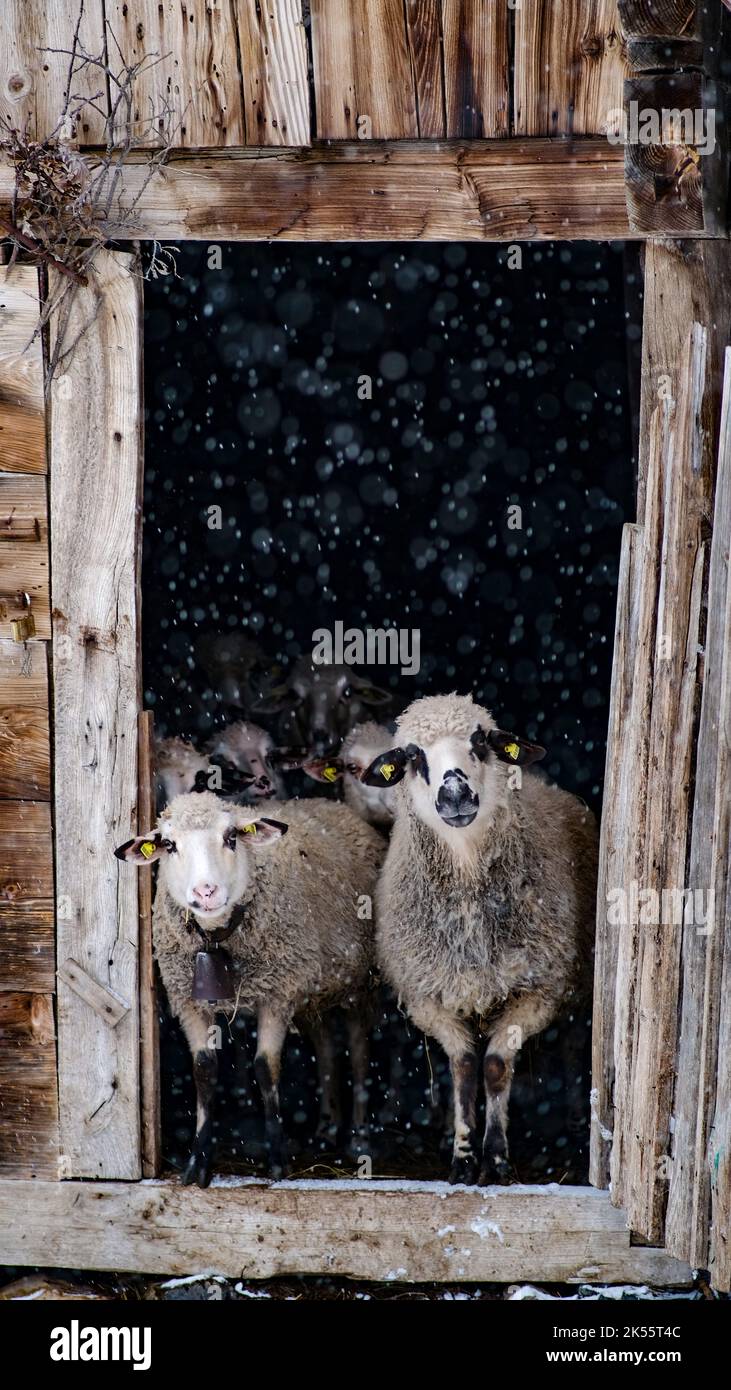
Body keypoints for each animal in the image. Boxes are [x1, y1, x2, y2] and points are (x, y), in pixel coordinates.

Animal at [115, 791, 385, 1186]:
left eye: (231, 837)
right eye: (169, 845)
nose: (206, 892)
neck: (216, 939)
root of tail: (326, 802)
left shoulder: (276, 996)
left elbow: (264, 1068)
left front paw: (277, 1161)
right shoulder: (190, 1002)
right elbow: (204, 1069)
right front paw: (198, 1161)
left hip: (359, 982)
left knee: (360, 1048)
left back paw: (360, 1137)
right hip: (310, 990)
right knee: (325, 1047)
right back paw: (326, 1129)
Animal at [363, 692, 598, 1186]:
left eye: (481, 740)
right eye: (412, 755)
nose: (454, 794)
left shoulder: (537, 992)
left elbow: (494, 1066)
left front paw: (497, 1159)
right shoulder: (428, 996)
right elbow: (465, 1067)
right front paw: (463, 1157)